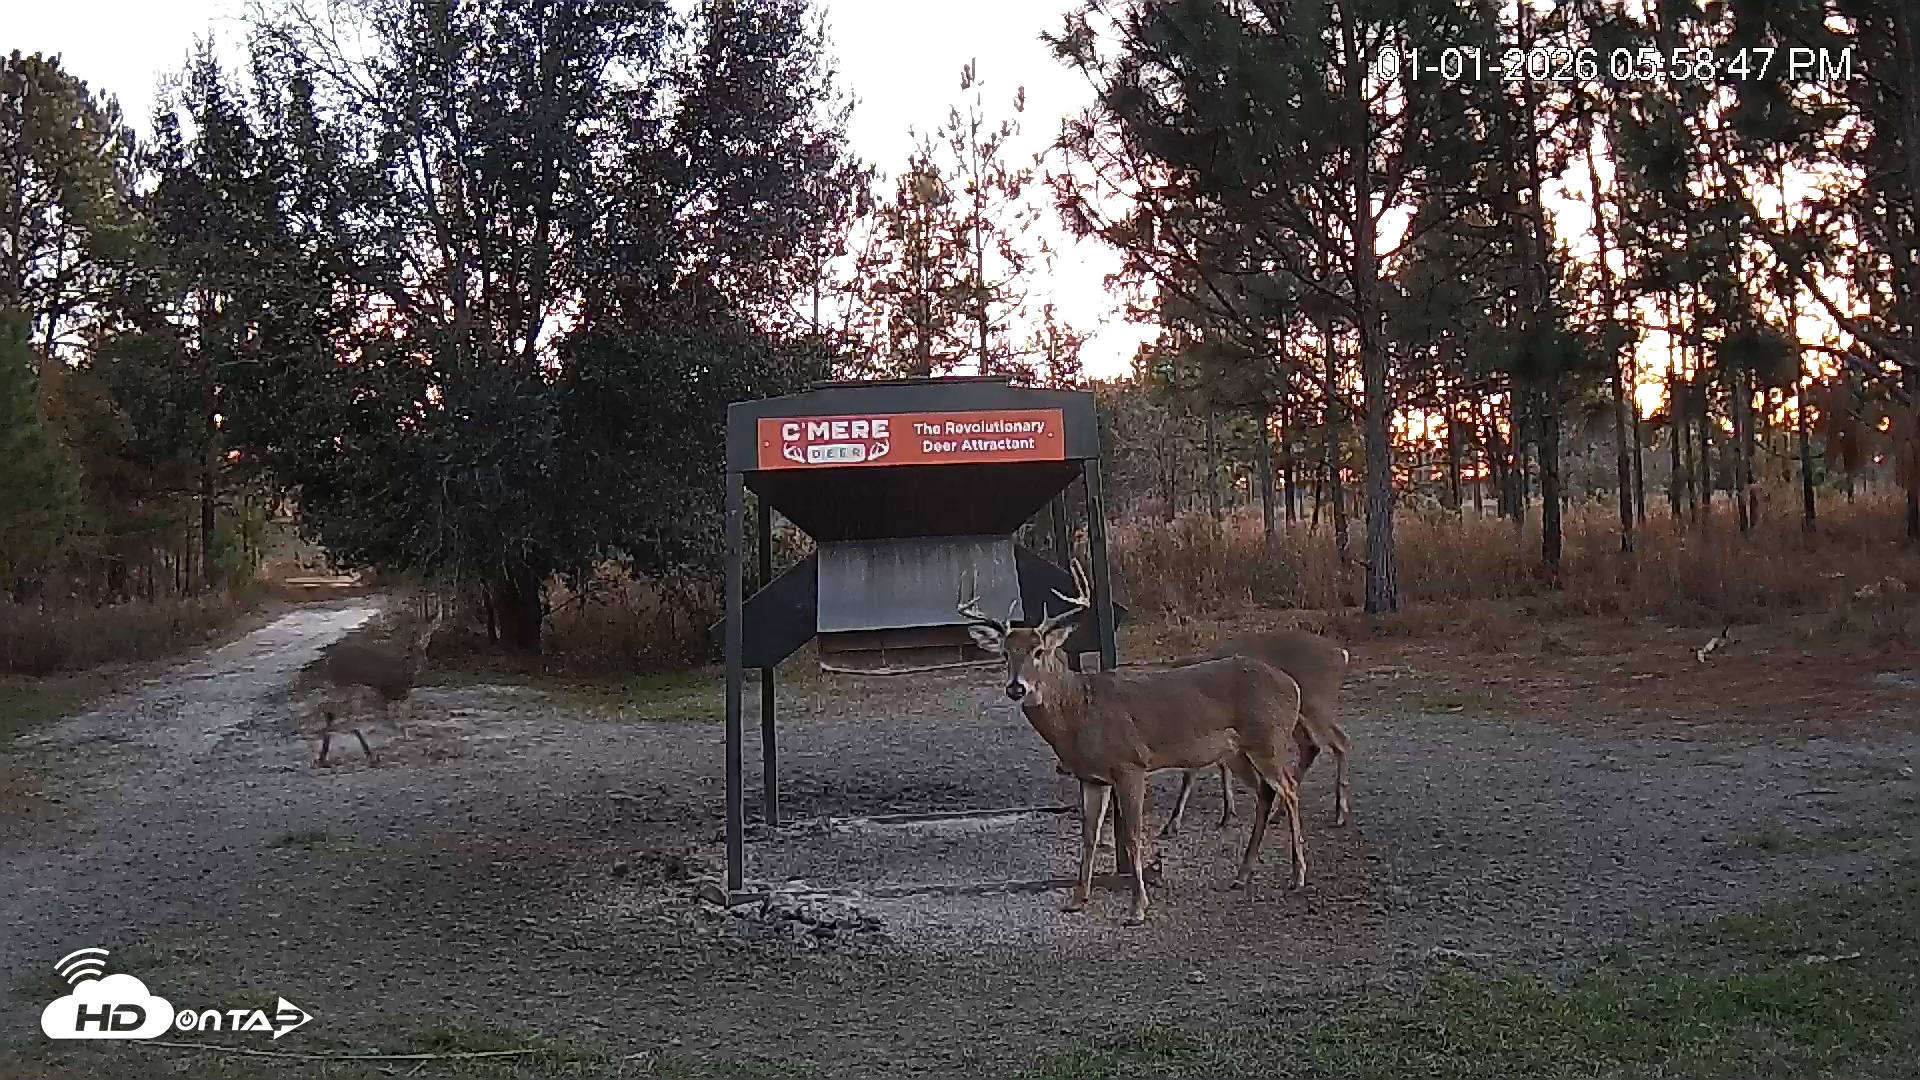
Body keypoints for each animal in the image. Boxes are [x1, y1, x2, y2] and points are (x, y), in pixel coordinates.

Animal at [312, 609, 445, 767]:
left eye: (429, 634)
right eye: (416, 632)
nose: (422, 644)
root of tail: (328, 662)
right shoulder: (385, 693)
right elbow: (393, 722)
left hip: (347, 688)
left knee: (334, 712)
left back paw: (327, 755)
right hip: (346, 685)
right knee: (331, 710)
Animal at [959, 560, 1309, 925]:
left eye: (1039, 651)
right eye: (1005, 654)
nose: (1017, 687)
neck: (1080, 710)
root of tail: (1292, 686)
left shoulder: (1130, 764)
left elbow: (1131, 835)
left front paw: (1138, 907)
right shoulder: (1092, 777)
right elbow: (1089, 835)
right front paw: (1077, 899)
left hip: (1268, 738)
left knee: (1288, 788)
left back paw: (1297, 875)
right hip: (1238, 751)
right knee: (1266, 791)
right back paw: (1242, 875)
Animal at [1160, 628, 1354, 837]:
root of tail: (1341, 654)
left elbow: (1191, 773)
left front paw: (1173, 822)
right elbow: (1221, 767)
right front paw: (1228, 813)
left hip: (1313, 704)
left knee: (1340, 741)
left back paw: (1340, 813)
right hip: (1292, 718)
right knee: (1311, 747)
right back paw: (1280, 813)